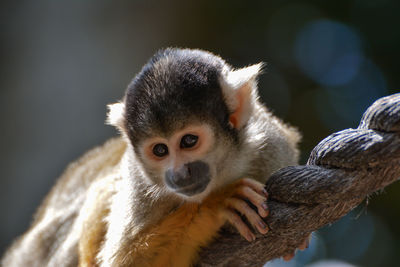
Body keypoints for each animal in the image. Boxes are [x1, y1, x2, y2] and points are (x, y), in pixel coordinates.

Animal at [0, 48, 300, 267]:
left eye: (188, 141)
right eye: (160, 150)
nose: (179, 174)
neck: (225, 170)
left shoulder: (272, 148)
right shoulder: (140, 181)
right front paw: (218, 204)